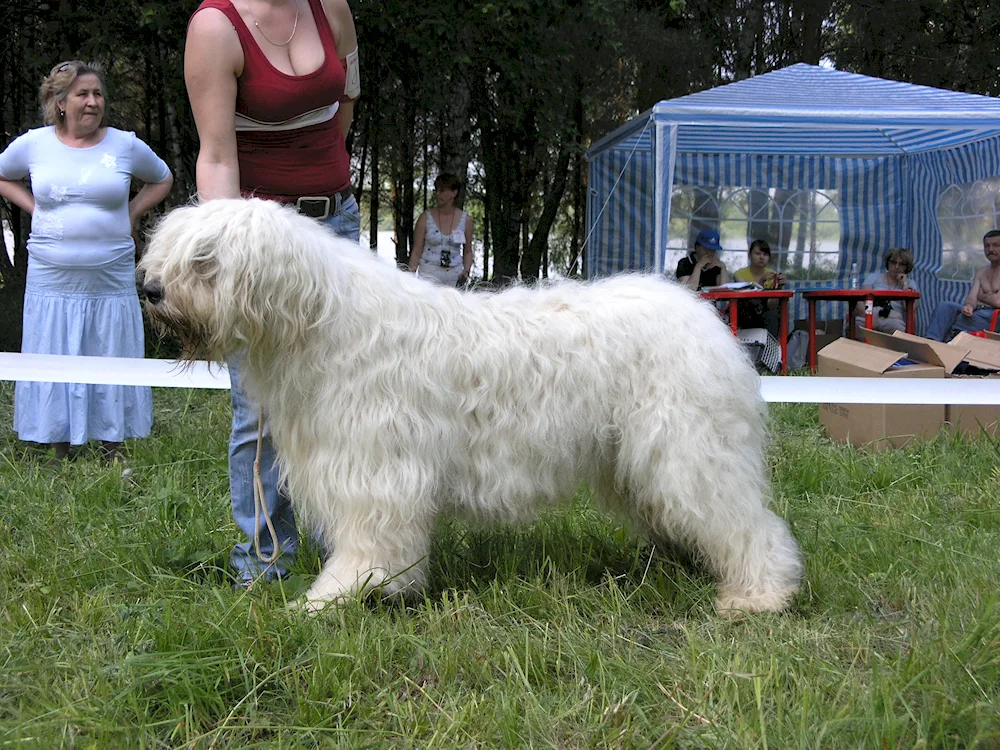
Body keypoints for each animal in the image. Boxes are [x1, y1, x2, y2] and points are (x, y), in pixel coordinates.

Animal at [137, 200, 800, 616]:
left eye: (205, 259)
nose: (149, 289)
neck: (322, 321)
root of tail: (703, 316)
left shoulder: (376, 469)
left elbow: (369, 542)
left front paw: (332, 598)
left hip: (691, 449)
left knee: (746, 524)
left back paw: (758, 596)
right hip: (636, 460)